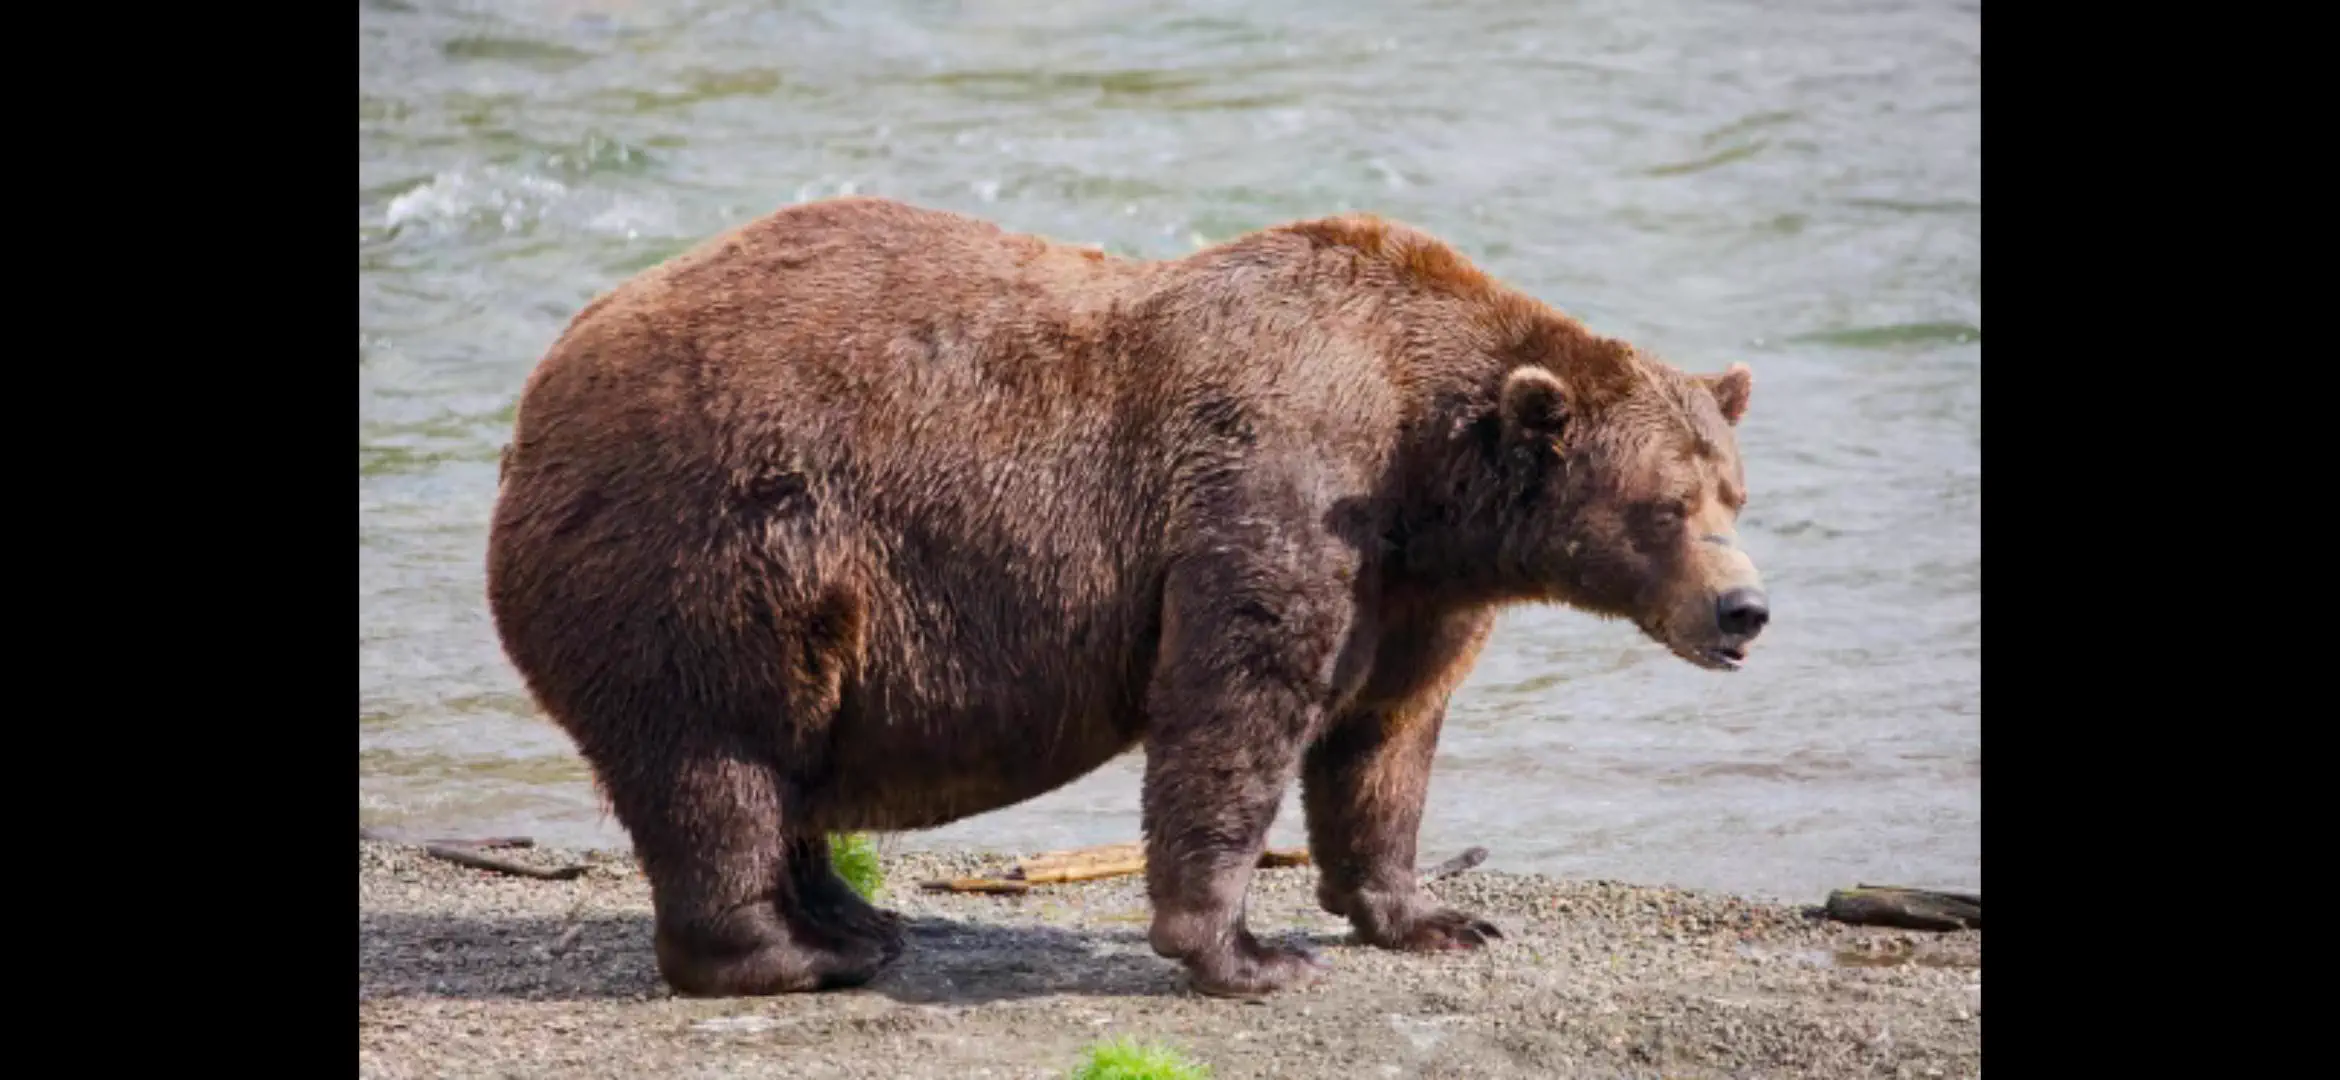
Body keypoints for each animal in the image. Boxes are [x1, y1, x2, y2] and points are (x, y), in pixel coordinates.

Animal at [486, 196, 1769, 1000]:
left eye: (1734, 492)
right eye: (1664, 506)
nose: (1743, 611)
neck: (1427, 469)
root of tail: (537, 393)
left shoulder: (1414, 589)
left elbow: (1384, 739)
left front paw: (1432, 916)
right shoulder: (1278, 489)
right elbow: (1235, 707)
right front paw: (1248, 954)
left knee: (780, 765)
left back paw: (855, 920)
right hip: (713, 547)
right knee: (719, 760)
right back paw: (794, 954)